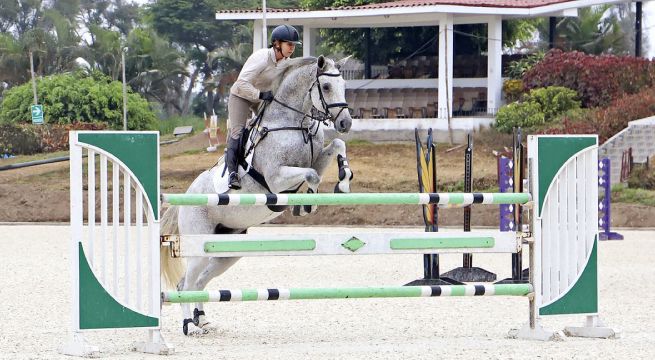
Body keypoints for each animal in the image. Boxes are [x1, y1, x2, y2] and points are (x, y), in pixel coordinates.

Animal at [162, 55, 356, 334]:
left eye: (344, 85)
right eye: (327, 87)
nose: (345, 123)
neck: (294, 123)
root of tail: (182, 202)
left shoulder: (317, 157)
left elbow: (335, 149)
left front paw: (343, 182)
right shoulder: (276, 180)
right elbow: (311, 175)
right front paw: (307, 204)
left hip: (227, 251)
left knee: (198, 282)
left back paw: (202, 318)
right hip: (199, 243)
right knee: (184, 285)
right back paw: (190, 325)